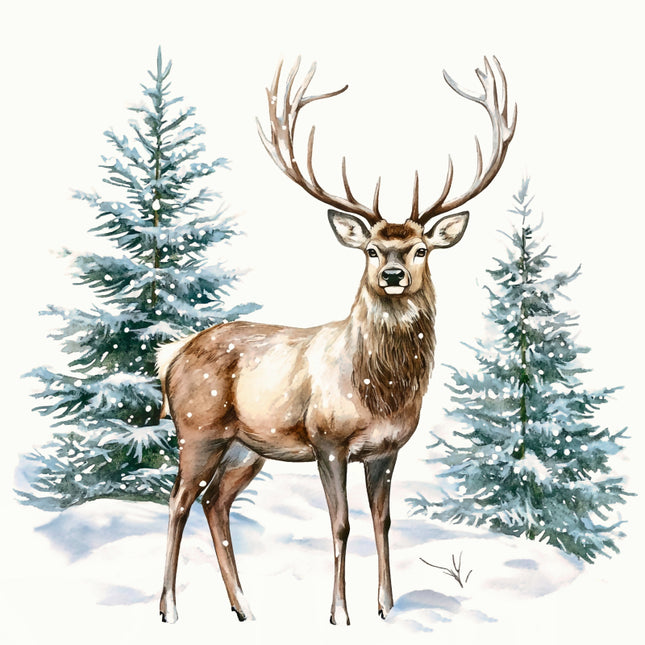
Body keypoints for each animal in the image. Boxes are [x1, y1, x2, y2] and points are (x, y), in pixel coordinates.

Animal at [158, 56, 516, 626]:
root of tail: (170, 355)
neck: (378, 389)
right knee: (177, 502)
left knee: (215, 503)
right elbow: (341, 524)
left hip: (244, 449)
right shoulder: (327, 440)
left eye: (420, 249)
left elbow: (383, 522)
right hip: (199, 428)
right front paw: (340, 614)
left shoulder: (387, 448)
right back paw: (170, 608)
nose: (392, 275)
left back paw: (245, 608)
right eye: (370, 249)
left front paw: (387, 607)